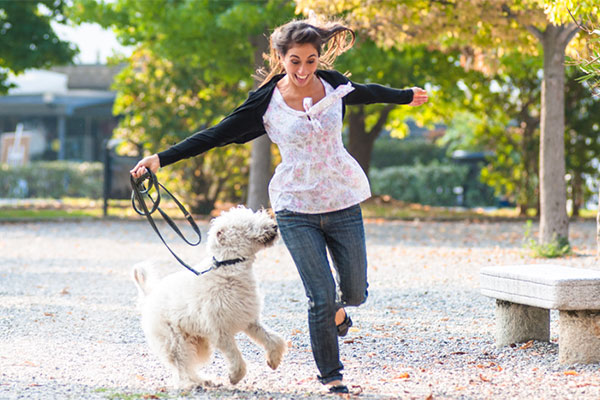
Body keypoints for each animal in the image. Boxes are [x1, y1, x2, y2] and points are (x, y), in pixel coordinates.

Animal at [132, 208, 288, 390]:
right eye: (249, 224)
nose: (275, 226)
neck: (228, 268)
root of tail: (150, 293)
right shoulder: (220, 332)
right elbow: (235, 356)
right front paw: (235, 376)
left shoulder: (250, 321)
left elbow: (274, 339)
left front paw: (273, 360)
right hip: (174, 341)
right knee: (180, 366)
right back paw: (189, 384)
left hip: (198, 343)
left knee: (189, 364)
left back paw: (202, 380)